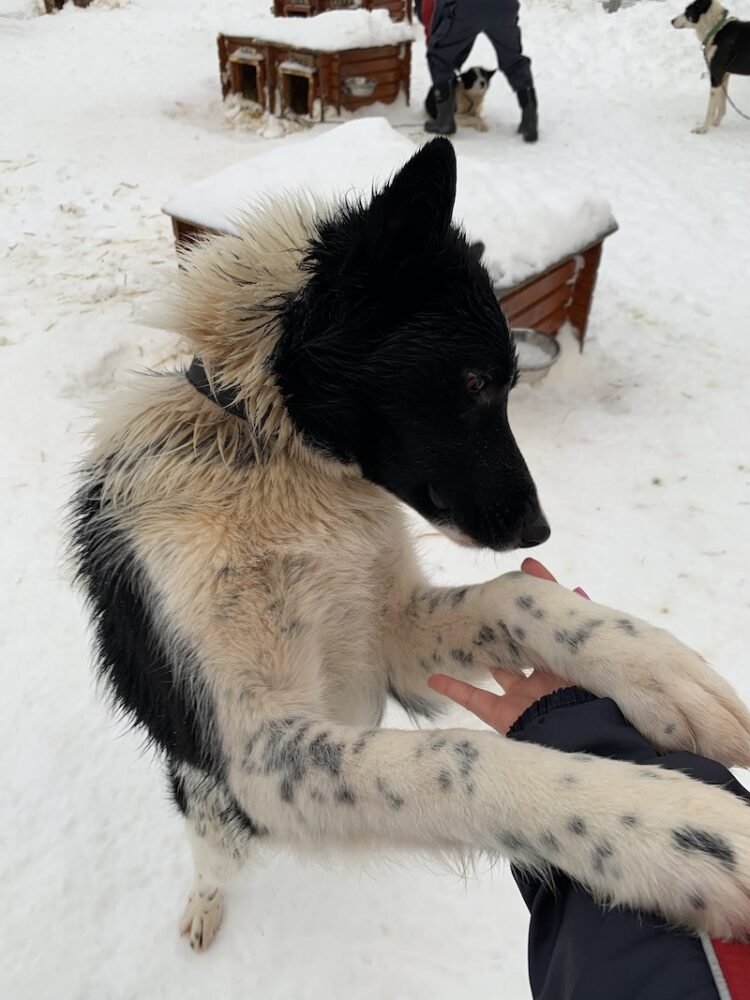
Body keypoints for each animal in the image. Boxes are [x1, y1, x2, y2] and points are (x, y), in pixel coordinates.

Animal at [73, 137, 750, 948]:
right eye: (474, 381)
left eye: (507, 382)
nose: (539, 529)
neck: (275, 457)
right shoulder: (261, 757)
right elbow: (462, 756)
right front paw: (679, 829)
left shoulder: (384, 637)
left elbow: (519, 596)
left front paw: (665, 674)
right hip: (216, 799)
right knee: (211, 854)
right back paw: (204, 909)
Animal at [676, 0, 750, 133]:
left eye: (687, 11)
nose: (671, 21)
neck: (715, 29)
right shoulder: (724, 75)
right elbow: (722, 104)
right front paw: (716, 123)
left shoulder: (715, 75)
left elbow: (711, 107)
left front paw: (703, 128)